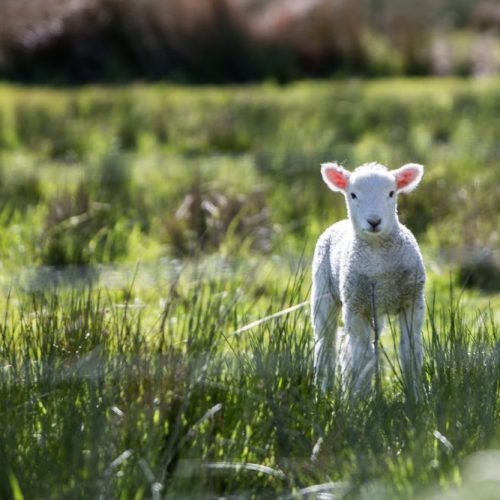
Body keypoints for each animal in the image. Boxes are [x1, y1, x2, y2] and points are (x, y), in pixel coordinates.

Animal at [312, 160, 426, 394]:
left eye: (391, 193)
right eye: (353, 194)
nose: (374, 221)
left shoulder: (413, 302)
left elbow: (410, 351)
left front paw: (416, 395)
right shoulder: (356, 307)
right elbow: (362, 356)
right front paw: (358, 398)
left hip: (376, 309)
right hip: (324, 293)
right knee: (326, 344)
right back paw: (323, 391)